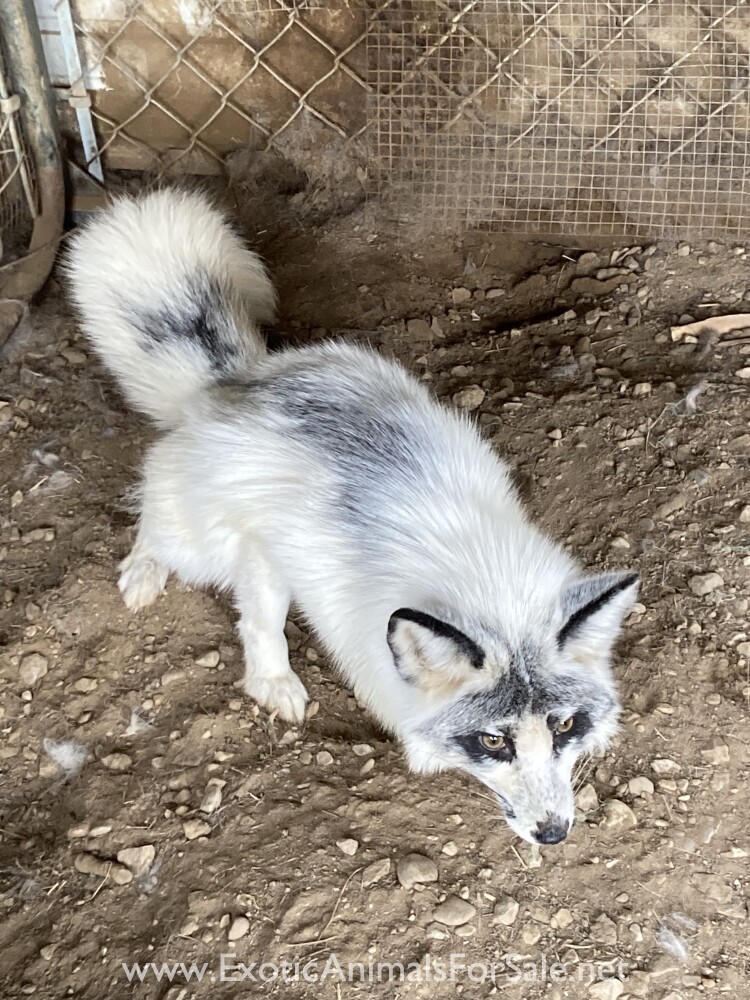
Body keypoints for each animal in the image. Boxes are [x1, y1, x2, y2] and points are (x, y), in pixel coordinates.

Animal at [65, 188, 638, 846]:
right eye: (494, 741)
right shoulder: (269, 551)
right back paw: (144, 571)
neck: (472, 562)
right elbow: (261, 626)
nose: (554, 833)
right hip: (200, 540)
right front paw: (273, 683)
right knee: (153, 512)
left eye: (565, 726)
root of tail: (238, 379)